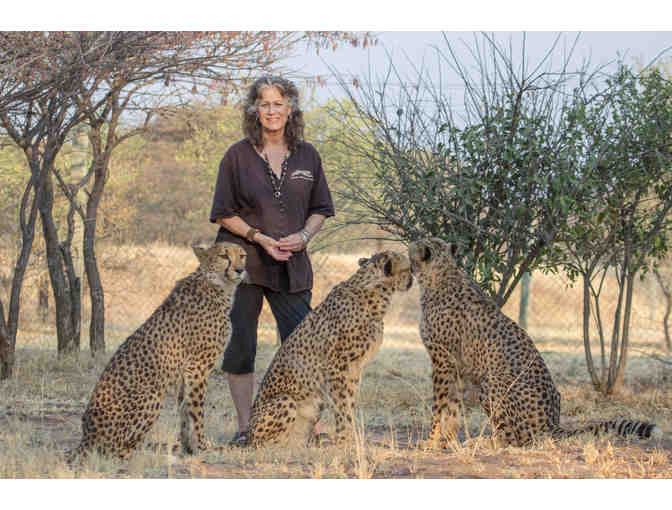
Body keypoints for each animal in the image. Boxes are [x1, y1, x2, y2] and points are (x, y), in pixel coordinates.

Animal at [68, 240, 247, 461]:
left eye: (242, 255)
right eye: (224, 256)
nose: (240, 270)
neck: (216, 285)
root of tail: (86, 437)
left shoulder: (187, 371)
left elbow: (184, 409)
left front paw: (188, 448)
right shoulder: (198, 366)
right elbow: (196, 410)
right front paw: (202, 446)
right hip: (152, 396)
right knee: (117, 452)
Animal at [248, 251, 413, 448]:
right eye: (407, 269)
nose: (412, 279)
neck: (373, 292)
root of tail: (247, 432)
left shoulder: (354, 369)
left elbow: (350, 402)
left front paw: (351, 436)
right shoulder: (338, 368)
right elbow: (342, 405)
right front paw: (343, 439)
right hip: (286, 400)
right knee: (265, 443)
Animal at [408, 237, 662, 448]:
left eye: (412, 251)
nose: (407, 254)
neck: (442, 275)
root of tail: (552, 423)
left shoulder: (442, 360)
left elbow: (439, 406)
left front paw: (430, 441)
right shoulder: (455, 366)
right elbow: (451, 407)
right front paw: (447, 441)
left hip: (492, 382)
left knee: (514, 439)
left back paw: (484, 443)